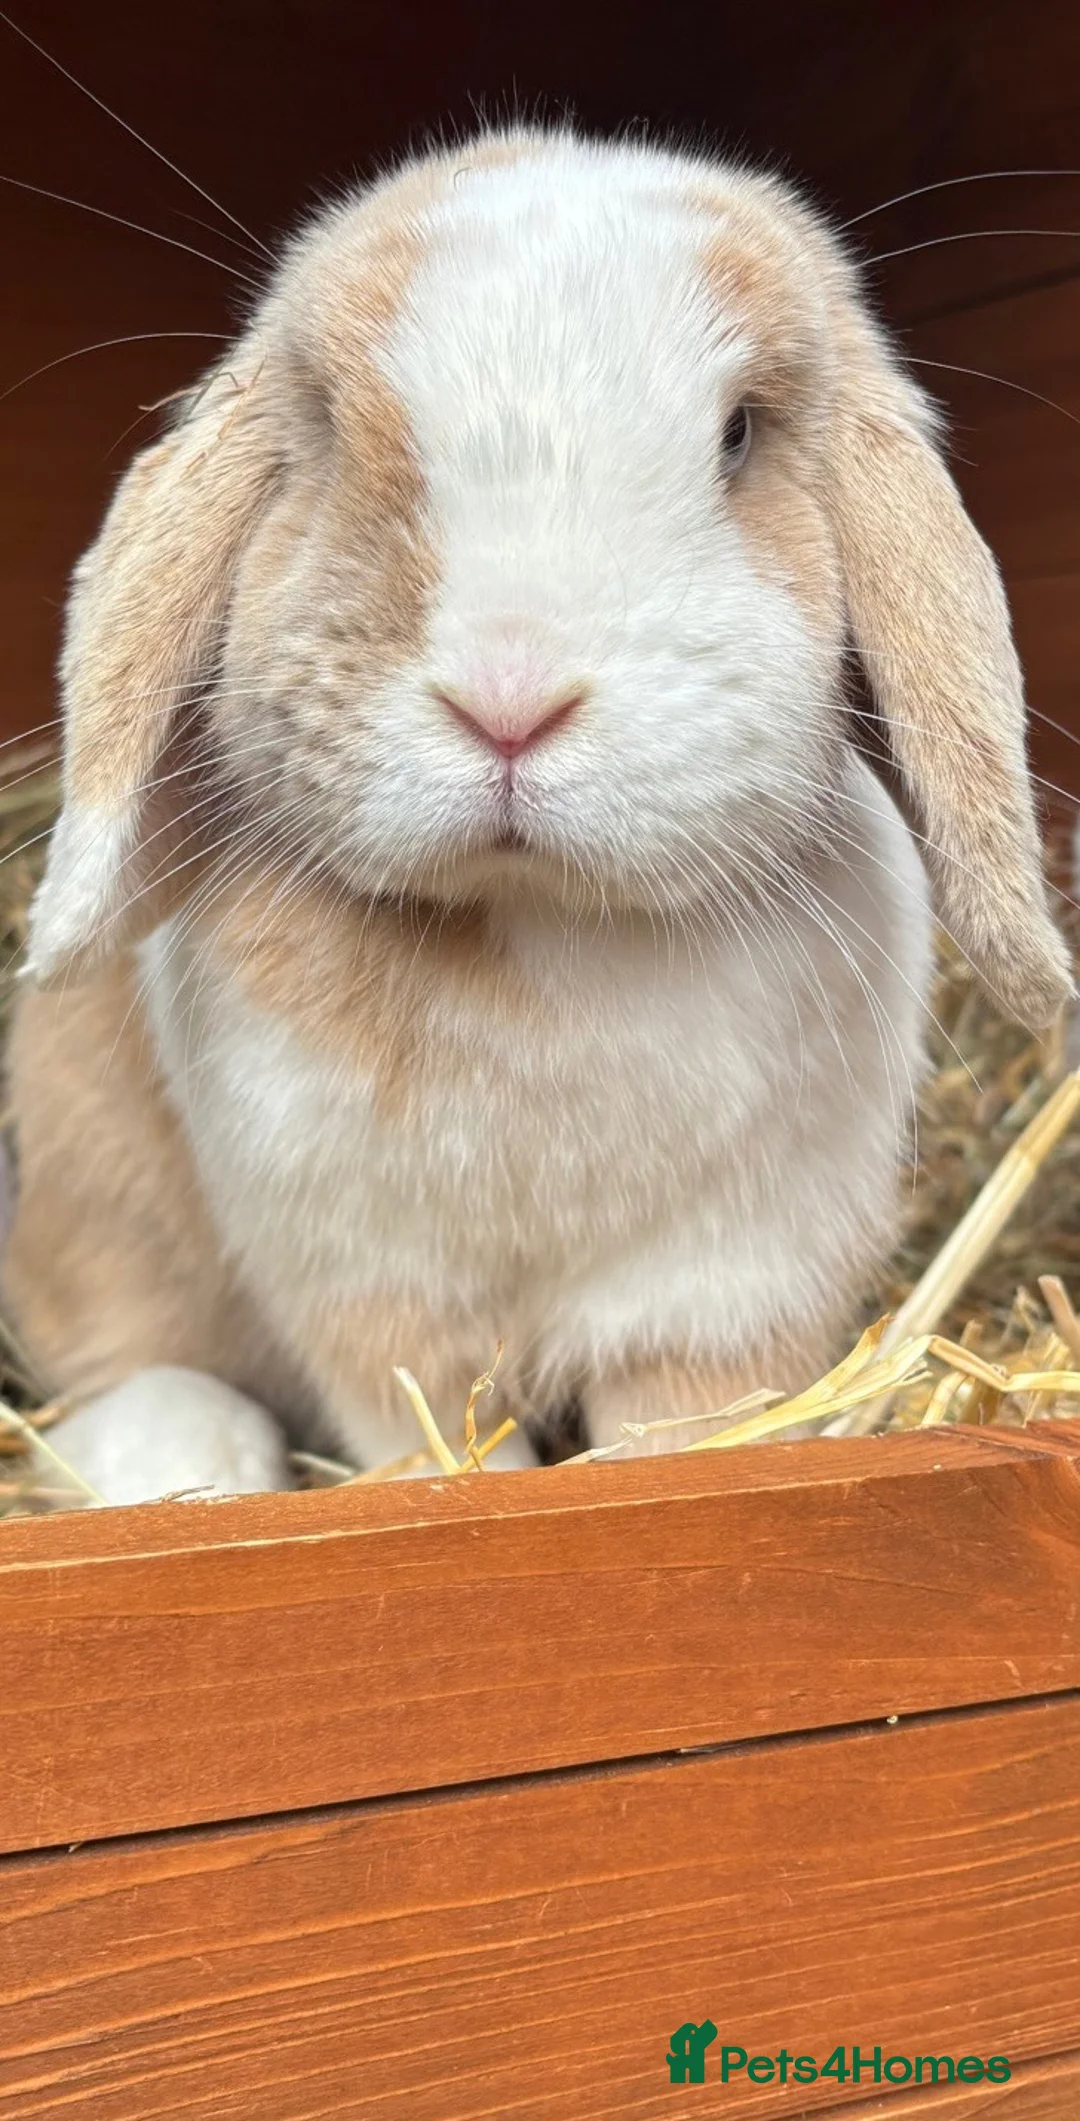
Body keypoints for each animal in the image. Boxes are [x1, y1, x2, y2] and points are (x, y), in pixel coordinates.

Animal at [2, 125, 1070, 1501]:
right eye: (329, 429)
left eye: (739, 433)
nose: (508, 699)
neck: (544, 932)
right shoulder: (374, 1297)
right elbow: (440, 1441)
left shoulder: (721, 1299)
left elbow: (676, 1434)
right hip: (91, 1190)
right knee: (118, 1350)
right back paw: (189, 1461)